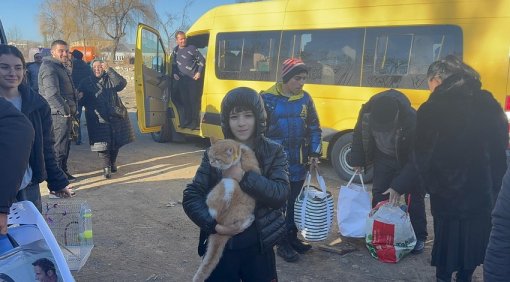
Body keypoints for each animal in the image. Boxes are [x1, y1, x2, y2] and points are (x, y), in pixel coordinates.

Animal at [193, 138, 260, 282]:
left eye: (217, 159)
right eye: (210, 156)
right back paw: (249, 220)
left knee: (213, 211)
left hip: (228, 184)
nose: (211, 162)